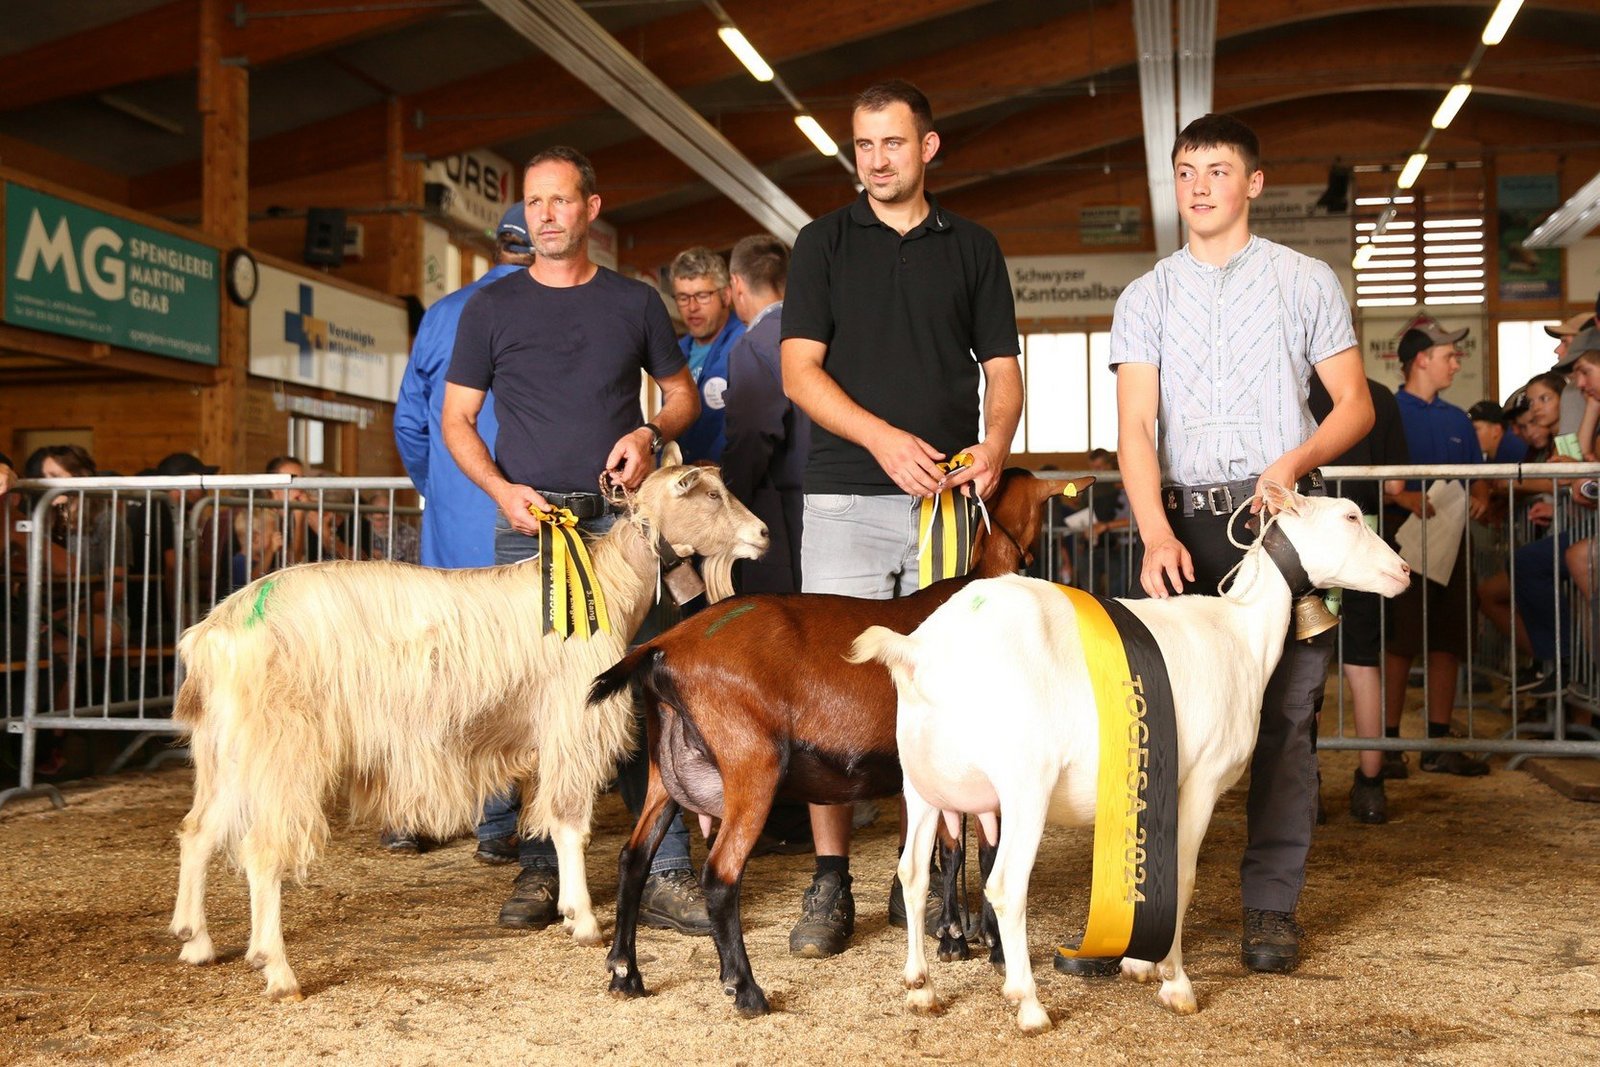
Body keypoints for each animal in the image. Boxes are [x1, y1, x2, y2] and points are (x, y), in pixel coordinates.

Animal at [169, 463, 767, 1000]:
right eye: (711, 495)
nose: (762, 534)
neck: (610, 586)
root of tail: (217, 631)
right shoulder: (571, 723)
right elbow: (570, 823)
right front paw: (583, 920)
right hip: (283, 746)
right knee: (262, 850)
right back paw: (277, 969)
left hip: (228, 751)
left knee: (198, 831)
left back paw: (195, 941)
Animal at [589, 469, 1092, 1017]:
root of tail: (664, 647)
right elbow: (986, 856)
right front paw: (993, 950)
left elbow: (951, 850)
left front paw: (953, 938)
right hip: (752, 764)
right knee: (720, 875)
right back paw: (745, 990)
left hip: (667, 769)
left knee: (633, 860)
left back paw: (624, 973)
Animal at [852, 484, 1411, 1032]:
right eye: (1350, 517)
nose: (1404, 571)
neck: (1241, 632)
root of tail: (922, 652)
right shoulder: (1201, 779)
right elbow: (1182, 877)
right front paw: (1175, 981)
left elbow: (1146, 877)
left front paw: (1139, 962)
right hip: (1024, 784)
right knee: (1007, 886)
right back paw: (1028, 1004)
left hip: (921, 782)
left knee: (913, 875)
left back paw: (920, 988)